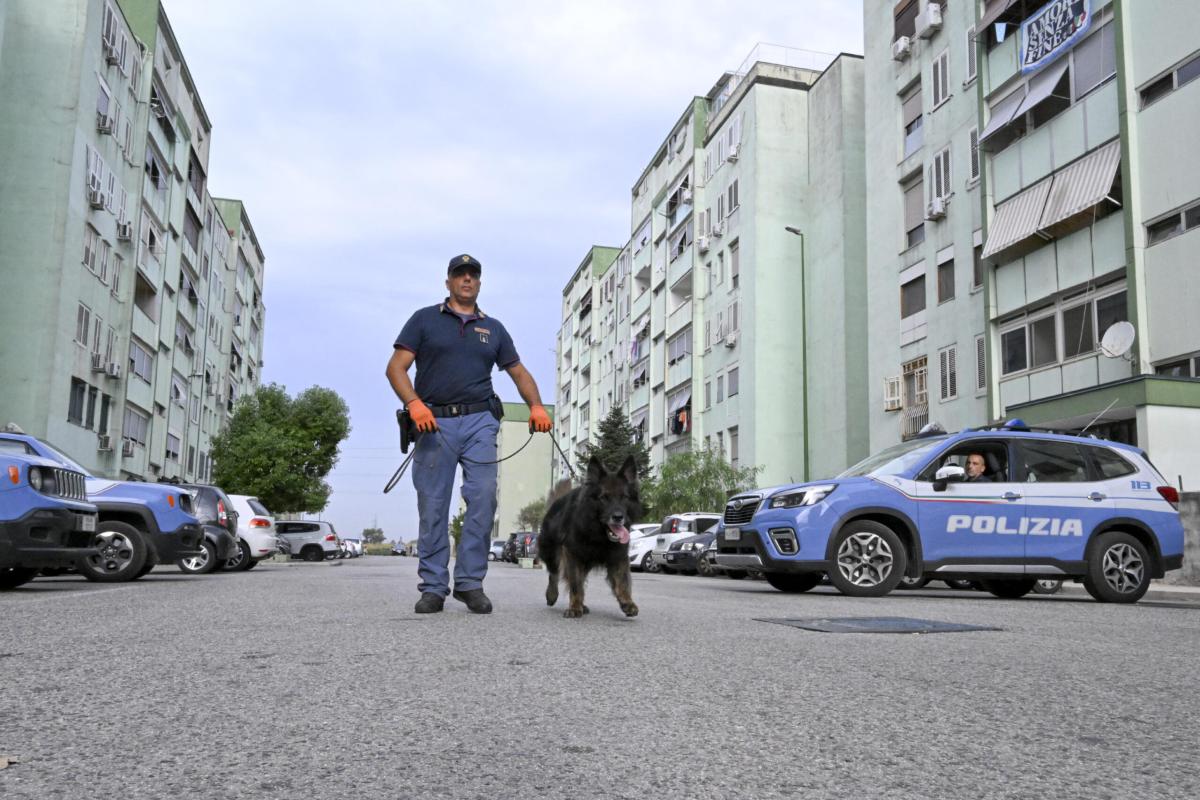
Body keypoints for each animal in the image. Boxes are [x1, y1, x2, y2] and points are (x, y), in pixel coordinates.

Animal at [540, 455, 643, 618]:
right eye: (604, 498)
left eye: (624, 497)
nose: (618, 517)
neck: (598, 534)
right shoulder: (573, 554)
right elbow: (575, 584)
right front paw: (574, 607)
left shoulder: (618, 556)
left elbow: (622, 581)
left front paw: (627, 602)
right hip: (551, 553)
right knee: (554, 574)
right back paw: (552, 595)